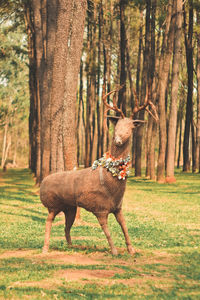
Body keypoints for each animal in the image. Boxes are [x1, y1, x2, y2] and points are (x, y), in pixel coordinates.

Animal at [39, 86, 158, 255]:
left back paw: (70, 245)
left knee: (66, 227)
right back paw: (45, 248)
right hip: (53, 205)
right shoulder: (99, 208)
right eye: (117, 126)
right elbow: (107, 231)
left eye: (130, 127)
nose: (118, 139)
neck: (112, 180)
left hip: (70, 207)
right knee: (48, 221)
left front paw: (131, 249)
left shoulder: (118, 207)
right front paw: (114, 250)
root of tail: (42, 183)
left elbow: (124, 226)